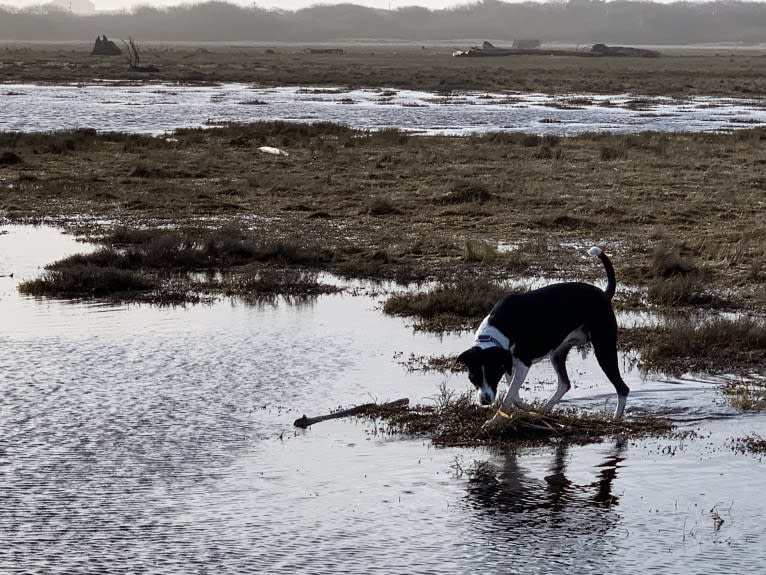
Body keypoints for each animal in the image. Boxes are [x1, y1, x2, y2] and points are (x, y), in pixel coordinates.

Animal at [460, 245, 632, 426]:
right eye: (473, 377)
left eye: (492, 374)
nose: (484, 400)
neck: (498, 329)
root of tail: (604, 295)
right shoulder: (507, 363)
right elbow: (514, 396)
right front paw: (527, 408)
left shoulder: (522, 364)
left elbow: (508, 396)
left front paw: (495, 420)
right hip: (557, 353)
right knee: (564, 384)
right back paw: (544, 410)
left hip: (603, 348)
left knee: (622, 388)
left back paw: (616, 418)